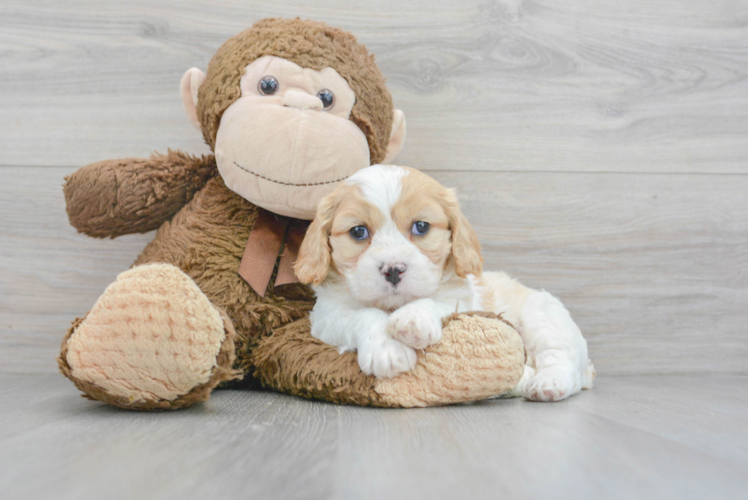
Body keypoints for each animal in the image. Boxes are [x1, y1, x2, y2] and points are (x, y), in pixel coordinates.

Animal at [296, 166, 592, 400]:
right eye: (358, 231)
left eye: (421, 227)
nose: (393, 270)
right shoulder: (327, 316)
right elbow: (364, 314)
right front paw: (388, 350)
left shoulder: (460, 299)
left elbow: (433, 301)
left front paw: (412, 319)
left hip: (542, 315)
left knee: (561, 358)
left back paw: (547, 383)